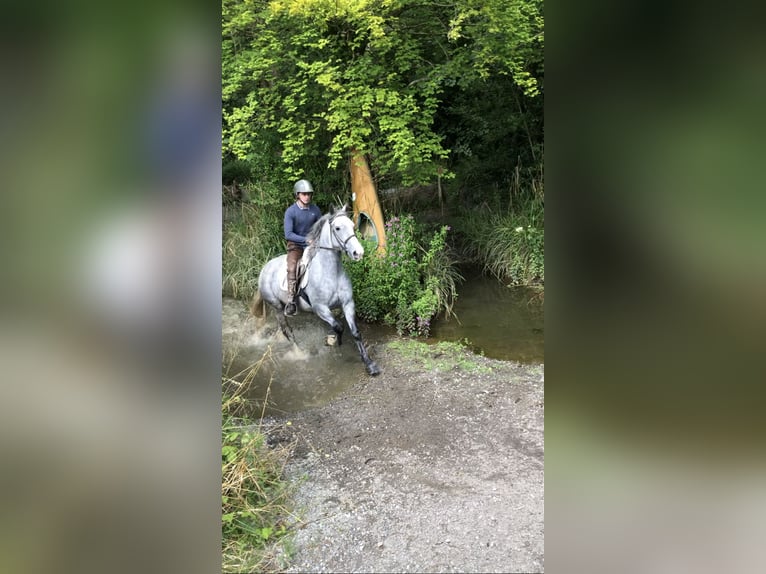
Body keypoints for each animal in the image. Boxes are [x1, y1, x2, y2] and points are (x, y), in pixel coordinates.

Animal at [252, 206, 384, 378]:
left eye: (352, 226)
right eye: (337, 228)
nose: (358, 253)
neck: (331, 272)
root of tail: (264, 269)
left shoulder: (348, 303)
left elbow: (355, 332)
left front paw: (370, 365)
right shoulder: (320, 308)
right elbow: (339, 327)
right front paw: (333, 341)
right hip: (277, 307)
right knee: (288, 331)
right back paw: (300, 354)